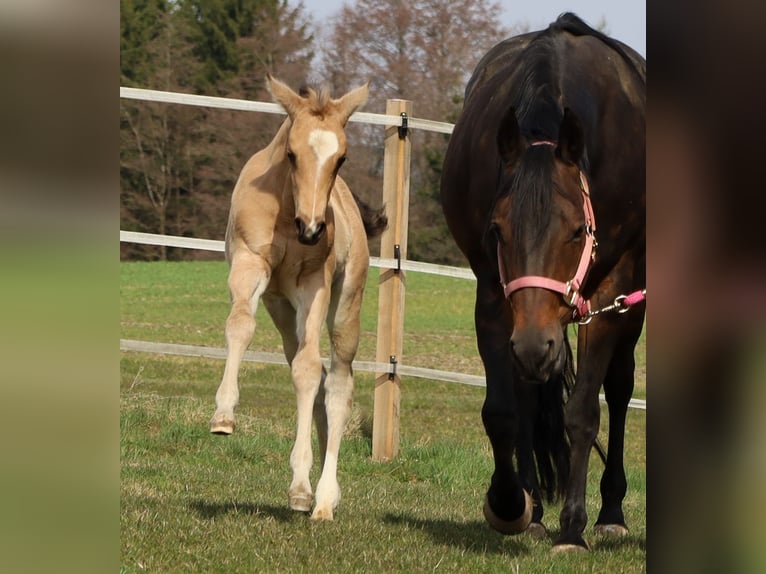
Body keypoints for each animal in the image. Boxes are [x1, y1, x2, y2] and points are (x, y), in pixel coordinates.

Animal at [210, 75, 387, 521]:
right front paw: (223, 417)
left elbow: (307, 371)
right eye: (291, 154)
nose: (312, 228)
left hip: (345, 306)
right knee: (311, 372)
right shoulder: (249, 263)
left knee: (336, 382)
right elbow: (240, 325)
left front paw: (302, 488)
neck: (286, 212)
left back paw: (323, 498)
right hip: (281, 310)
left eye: (341, 158)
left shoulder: (313, 284)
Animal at [440, 13, 645, 550]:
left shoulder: (610, 290)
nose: (535, 345)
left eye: (576, 230)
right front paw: (511, 503)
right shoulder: (495, 294)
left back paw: (610, 511)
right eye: (497, 231)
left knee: (619, 388)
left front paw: (573, 527)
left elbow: (583, 413)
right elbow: (504, 412)